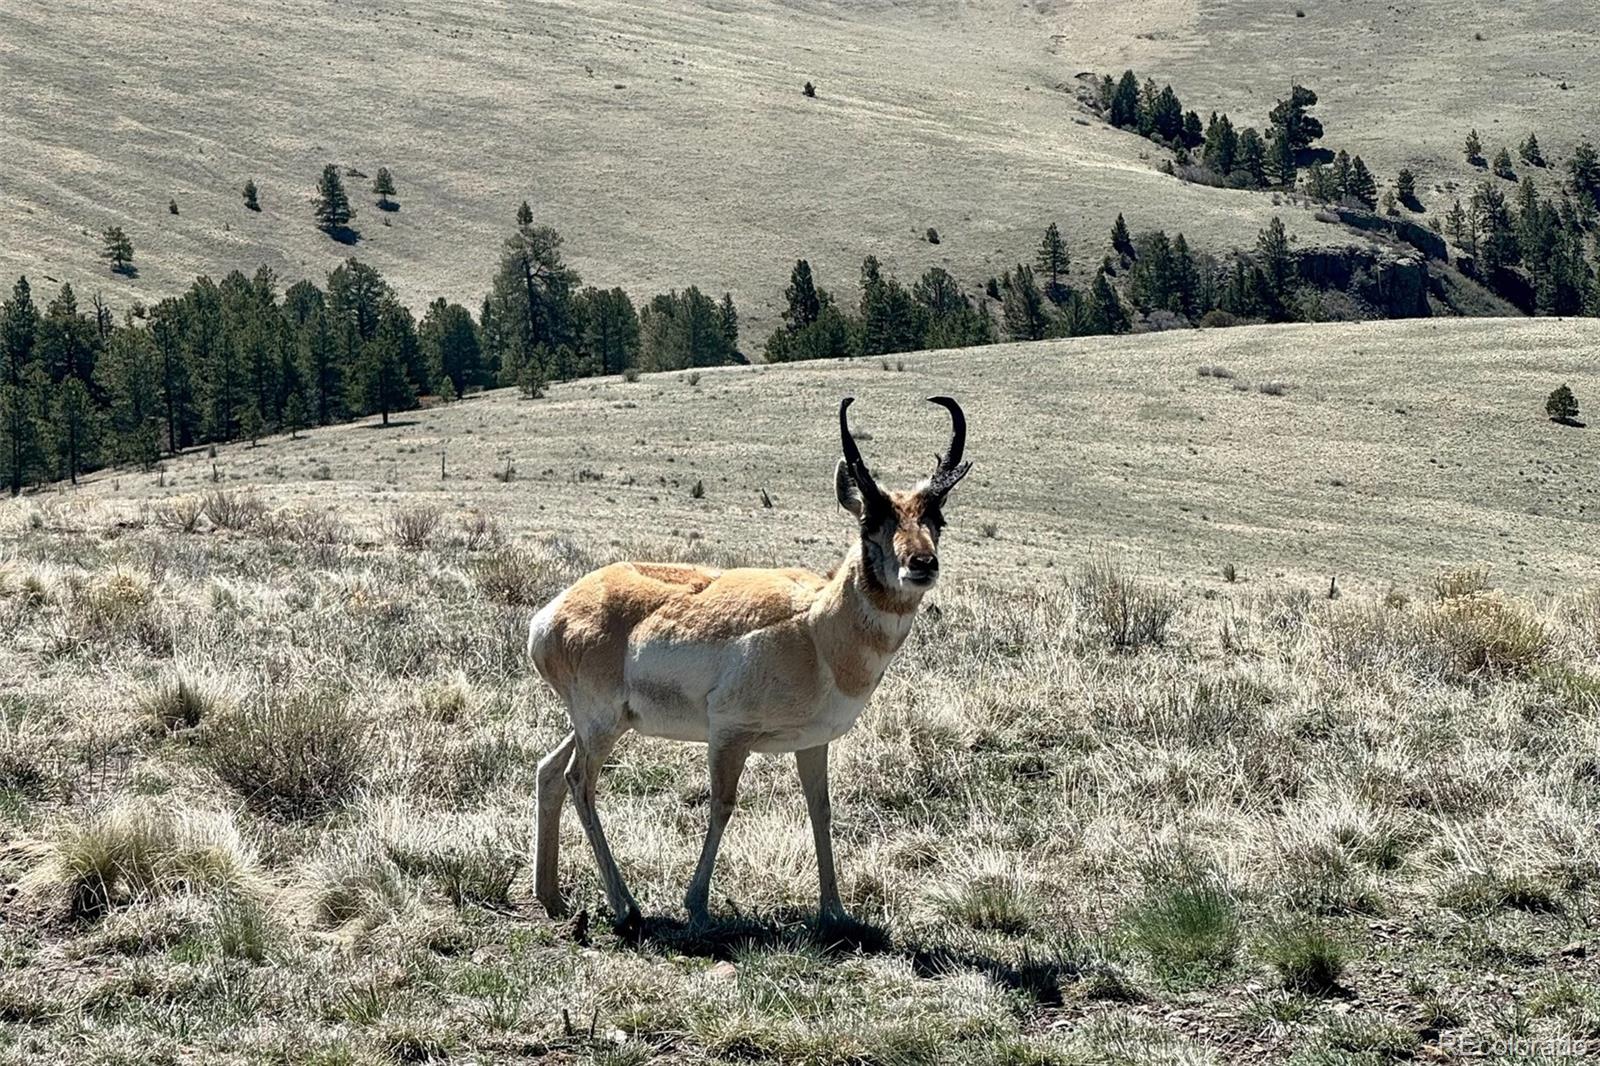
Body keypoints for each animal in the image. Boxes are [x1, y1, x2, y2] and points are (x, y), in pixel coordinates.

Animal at [531, 393, 966, 928]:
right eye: (871, 522)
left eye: (936, 520)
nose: (921, 565)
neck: (815, 627)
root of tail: (555, 611)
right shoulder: (729, 735)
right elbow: (722, 805)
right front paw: (697, 904)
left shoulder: (812, 743)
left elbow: (820, 810)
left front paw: (835, 911)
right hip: (602, 725)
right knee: (578, 781)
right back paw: (625, 906)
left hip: (597, 724)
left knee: (549, 771)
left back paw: (552, 897)